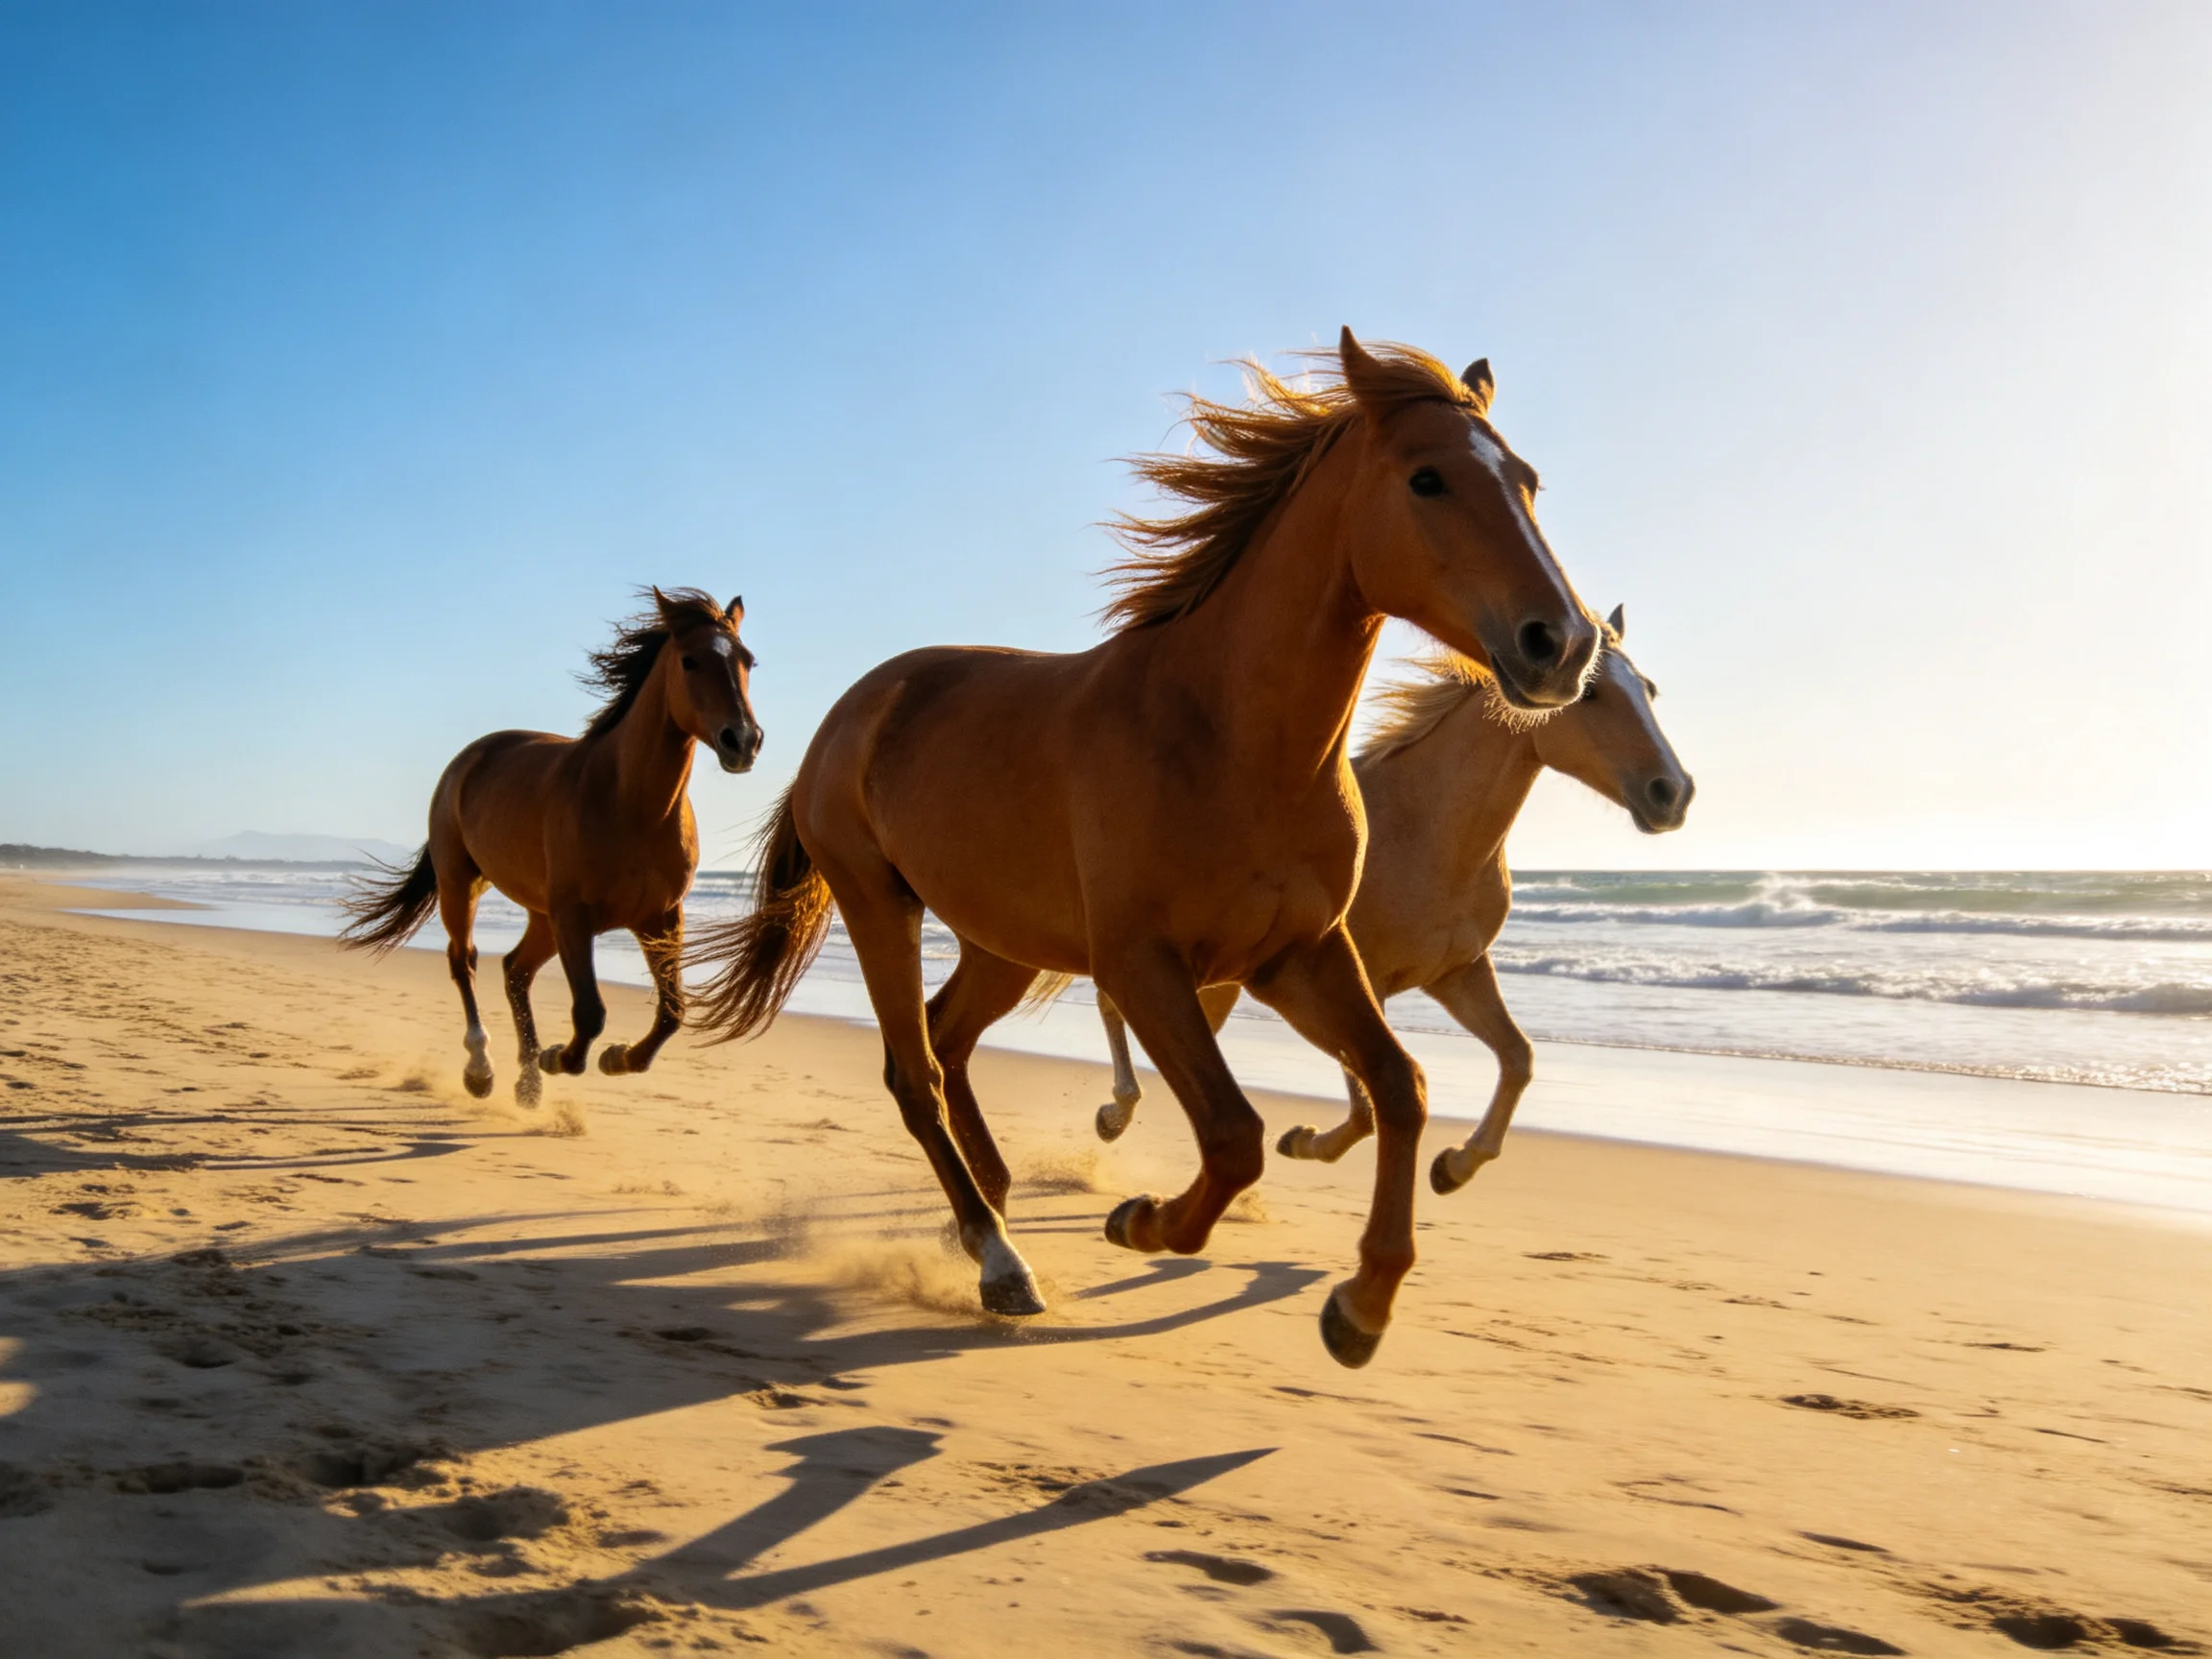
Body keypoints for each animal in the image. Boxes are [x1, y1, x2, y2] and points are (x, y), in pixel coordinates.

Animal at [340, 588, 761, 1104]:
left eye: (748, 660)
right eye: (690, 661)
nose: (743, 741)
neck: (629, 802)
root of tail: (468, 758)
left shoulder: (660, 918)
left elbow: (672, 1011)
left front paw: (616, 1058)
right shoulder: (574, 918)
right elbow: (591, 1012)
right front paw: (559, 1056)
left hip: (541, 915)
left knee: (515, 971)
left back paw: (527, 1083)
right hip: (463, 886)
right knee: (465, 962)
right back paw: (482, 1069)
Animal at [689, 333, 1598, 1368]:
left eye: (1527, 482)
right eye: (1428, 478)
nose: (1565, 645)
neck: (1233, 738)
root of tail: (854, 707)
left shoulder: (1299, 956)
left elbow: (1399, 1089)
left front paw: (1361, 1306)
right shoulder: (1141, 963)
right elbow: (1236, 1133)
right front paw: (1142, 1220)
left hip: (1004, 941)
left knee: (947, 1040)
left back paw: (984, 1214)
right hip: (880, 903)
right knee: (914, 1073)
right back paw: (1001, 1262)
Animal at [1091, 606, 1692, 1192]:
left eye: (1649, 689)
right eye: (1590, 694)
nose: (1673, 793)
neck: (1424, 833)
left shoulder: (1457, 973)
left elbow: (1517, 1057)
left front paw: (1454, 1166)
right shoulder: (1360, 981)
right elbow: (1365, 1109)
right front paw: (1304, 1140)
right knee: (1114, 1007)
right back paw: (1115, 1115)